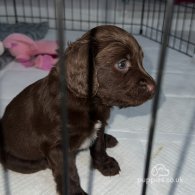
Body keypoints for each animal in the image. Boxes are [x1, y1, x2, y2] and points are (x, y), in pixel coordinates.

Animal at [0, 25, 155, 194]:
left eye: (141, 60)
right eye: (122, 64)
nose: (154, 87)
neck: (89, 102)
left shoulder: (100, 124)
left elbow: (99, 147)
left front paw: (105, 164)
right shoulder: (58, 147)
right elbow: (69, 173)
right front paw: (75, 192)